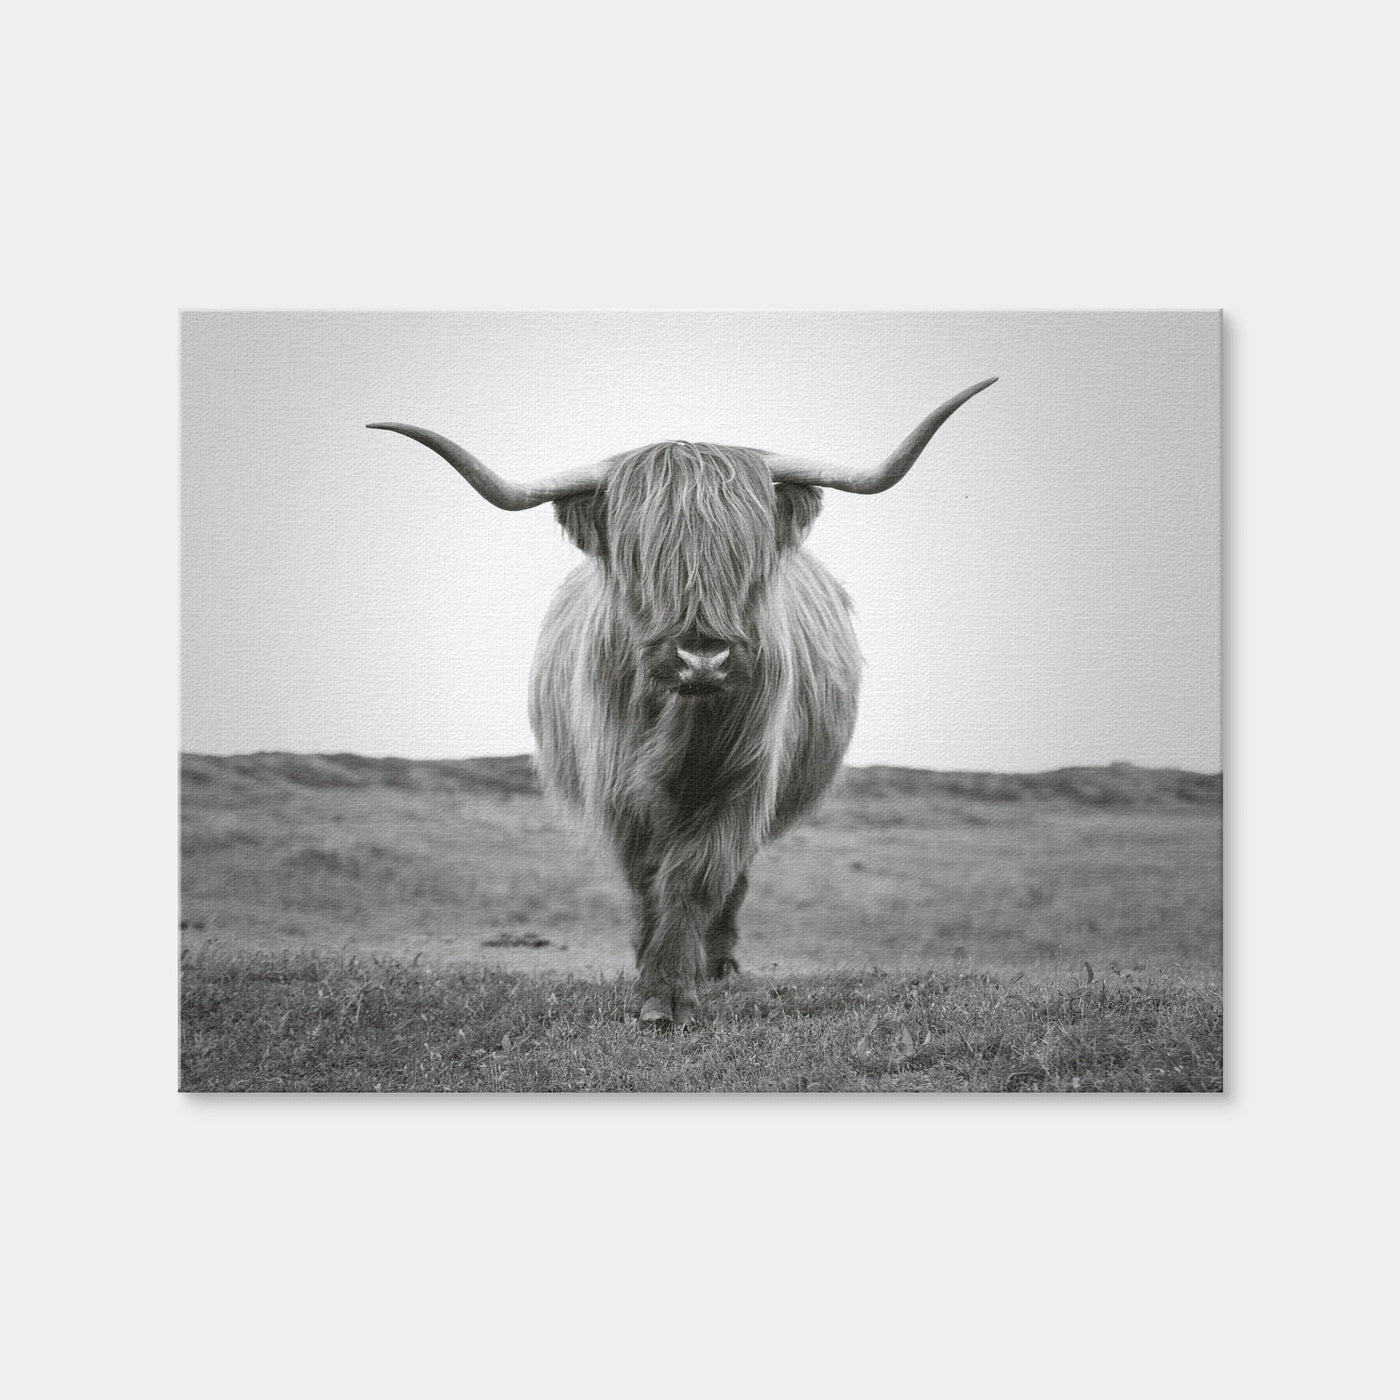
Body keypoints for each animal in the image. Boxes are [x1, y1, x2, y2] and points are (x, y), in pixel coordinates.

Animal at [369, 378, 996, 1026]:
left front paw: (671, 990)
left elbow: (696, 875)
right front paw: (650, 978)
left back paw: (718, 964)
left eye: (746, 555)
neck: (678, 720)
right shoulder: (618, 788)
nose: (702, 658)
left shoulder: (740, 781)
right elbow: (647, 877)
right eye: (640, 557)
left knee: (733, 880)